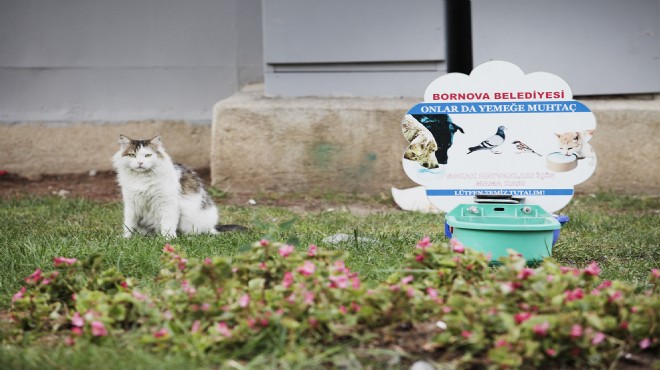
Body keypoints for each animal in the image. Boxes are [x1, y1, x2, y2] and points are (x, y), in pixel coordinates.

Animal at [112, 134, 244, 238]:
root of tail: (213, 226)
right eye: (132, 155)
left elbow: (167, 224)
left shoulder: (167, 204)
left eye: (148, 155)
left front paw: (168, 239)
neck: (141, 179)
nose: (140, 163)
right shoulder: (131, 204)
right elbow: (129, 224)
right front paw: (126, 238)